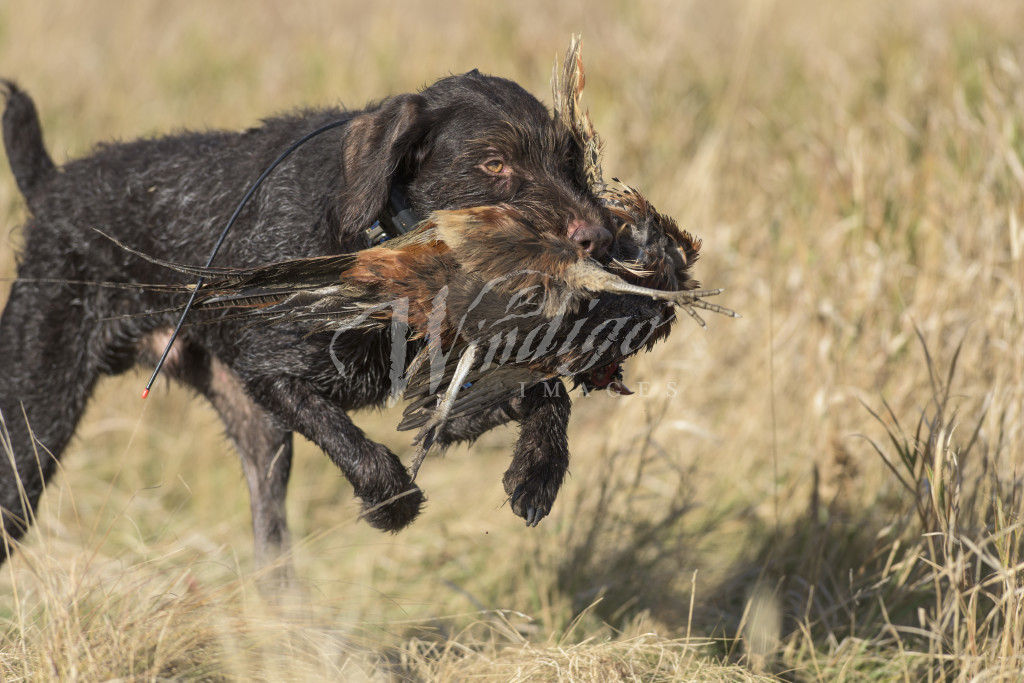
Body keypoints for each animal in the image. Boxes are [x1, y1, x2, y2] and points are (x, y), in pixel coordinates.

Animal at [0, 58, 617, 568]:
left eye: (569, 159)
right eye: (494, 162)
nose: (601, 237)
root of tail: (52, 188)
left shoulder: (446, 397)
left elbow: (543, 391)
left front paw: (538, 471)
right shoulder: (274, 375)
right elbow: (362, 453)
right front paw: (390, 504)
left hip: (258, 436)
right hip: (33, 425)